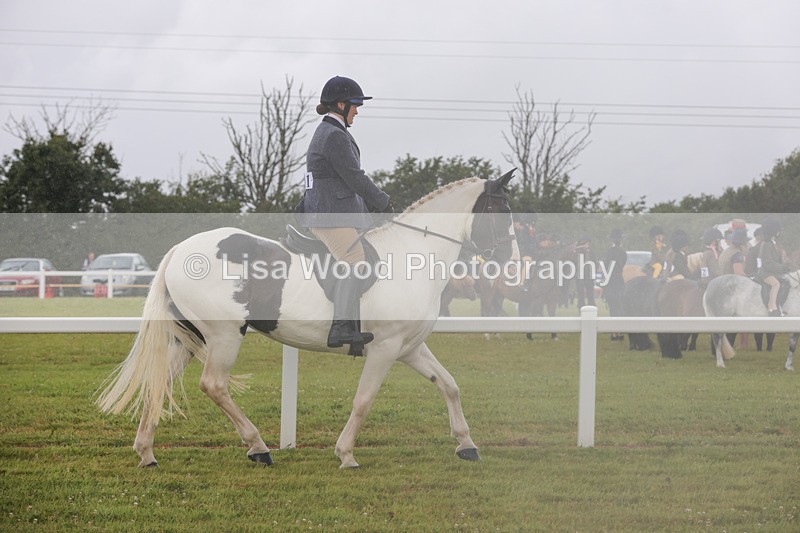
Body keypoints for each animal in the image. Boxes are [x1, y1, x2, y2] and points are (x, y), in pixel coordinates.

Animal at [97, 172, 519, 469]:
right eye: (499, 212)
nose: (511, 265)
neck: (411, 254)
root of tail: (179, 250)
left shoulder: (410, 347)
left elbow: (449, 385)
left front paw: (467, 444)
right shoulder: (384, 349)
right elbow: (363, 400)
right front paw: (346, 454)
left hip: (190, 339)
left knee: (160, 384)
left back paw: (147, 452)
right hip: (223, 336)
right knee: (214, 386)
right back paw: (259, 448)